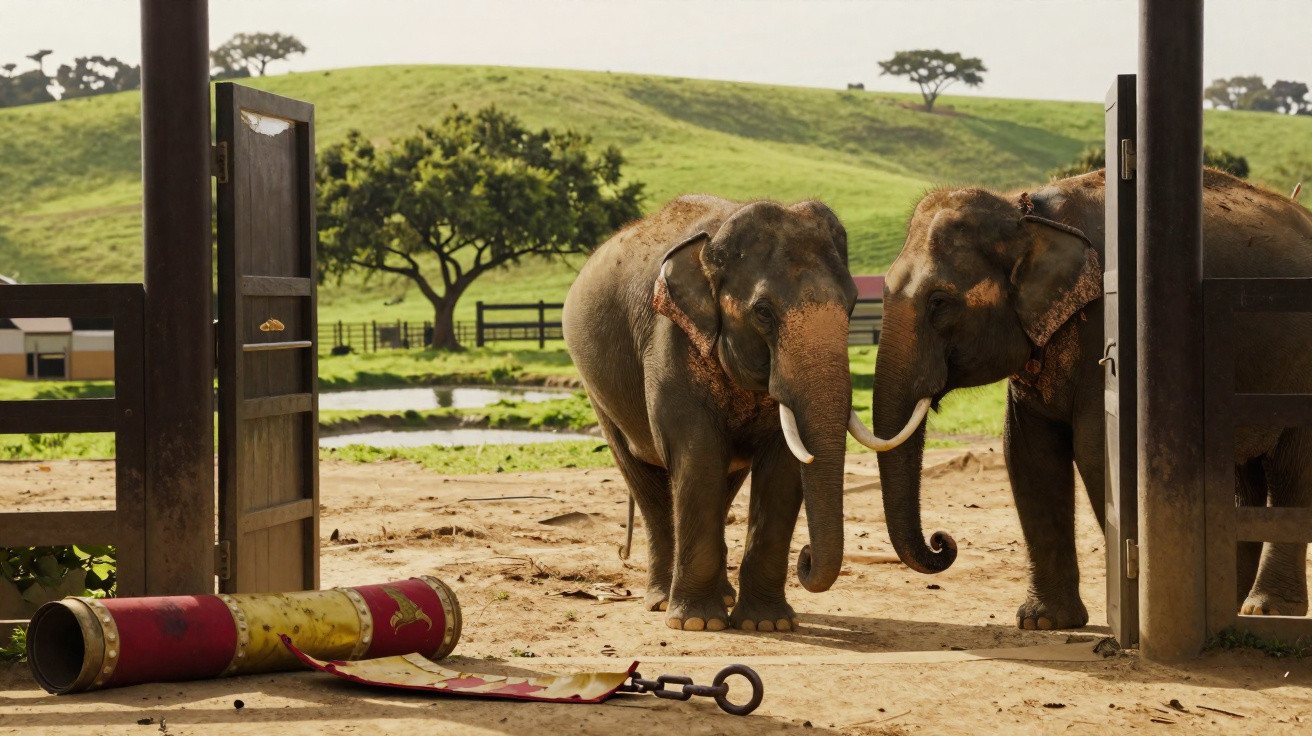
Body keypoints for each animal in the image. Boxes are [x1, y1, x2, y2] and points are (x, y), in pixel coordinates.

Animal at [563, 194, 904, 632]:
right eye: (763, 312)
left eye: (852, 306)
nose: (806, 558)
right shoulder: (670, 340)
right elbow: (698, 455)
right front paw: (697, 624)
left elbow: (783, 467)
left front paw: (767, 625)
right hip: (598, 392)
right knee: (647, 483)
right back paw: (662, 601)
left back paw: (720, 597)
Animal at [869, 168, 1312, 630]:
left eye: (939, 302)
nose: (943, 541)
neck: (1025, 214)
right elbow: (1028, 454)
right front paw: (1042, 623)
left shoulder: (1108, 328)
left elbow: (1096, 448)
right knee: (1244, 479)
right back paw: (1229, 605)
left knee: (1291, 471)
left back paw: (1268, 608)